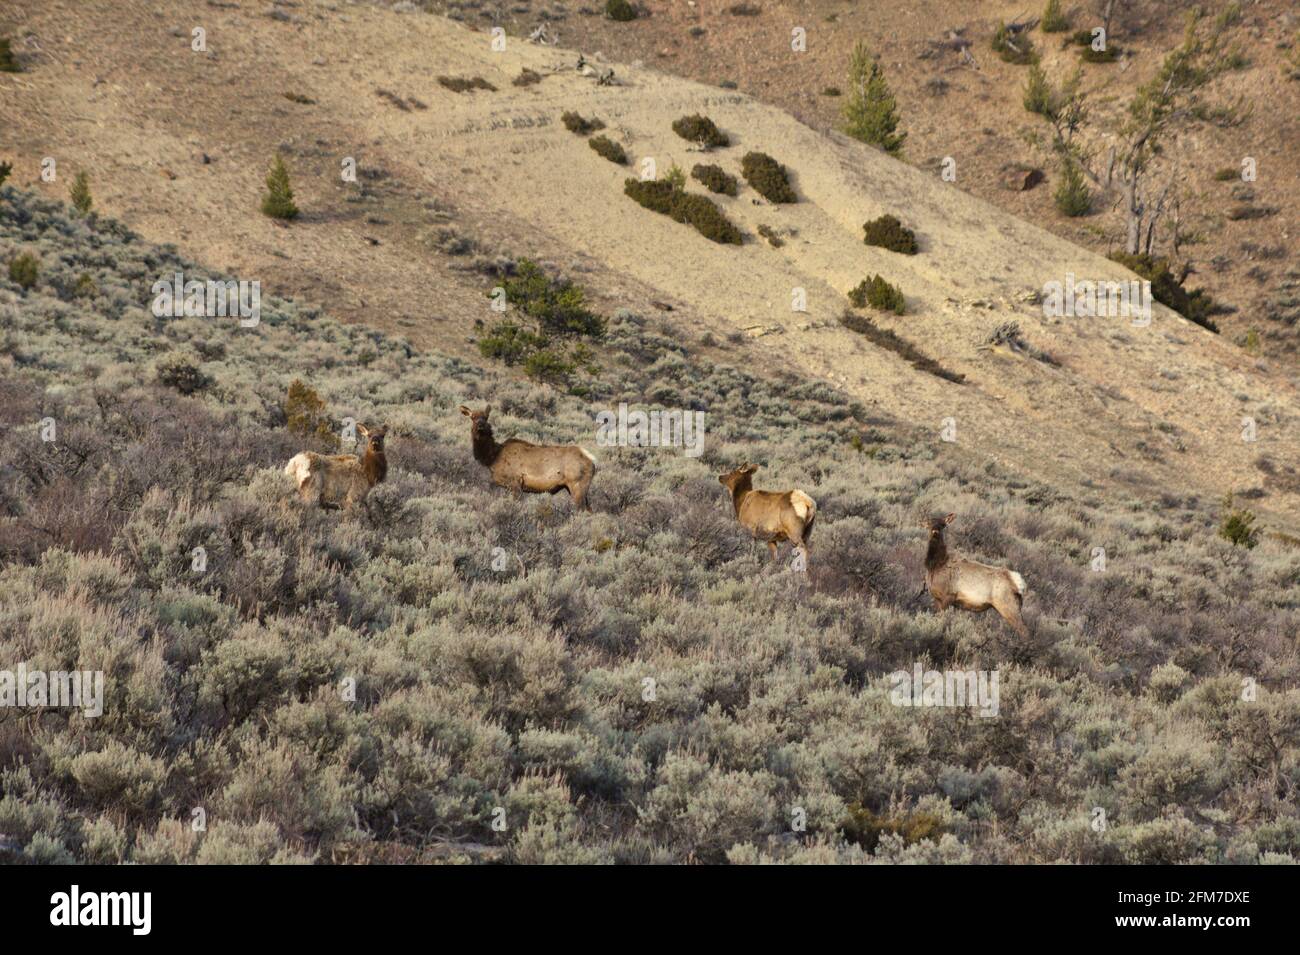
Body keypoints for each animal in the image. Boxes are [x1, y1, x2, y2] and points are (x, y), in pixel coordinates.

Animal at [460, 402, 595, 509]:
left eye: (486, 417)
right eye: (473, 417)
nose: (480, 426)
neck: (492, 457)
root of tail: (593, 460)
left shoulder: (515, 482)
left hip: (577, 485)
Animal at [920, 511, 1029, 639]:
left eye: (943, 525)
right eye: (929, 523)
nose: (935, 532)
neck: (936, 565)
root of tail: (1018, 583)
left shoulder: (948, 595)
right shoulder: (938, 598)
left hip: (1008, 605)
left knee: (1025, 631)